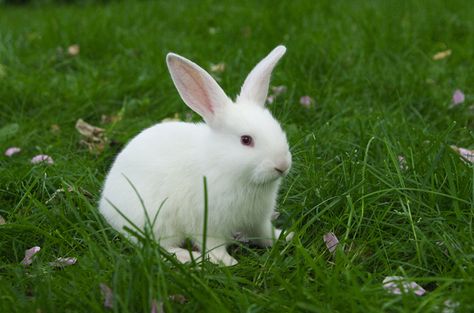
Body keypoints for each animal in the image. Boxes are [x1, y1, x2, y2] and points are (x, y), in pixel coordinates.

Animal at [99, 45, 290, 264]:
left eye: (278, 128)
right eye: (246, 140)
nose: (282, 165)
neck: (223, 164)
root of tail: (105, 203)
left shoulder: (258, 220)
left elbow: (265, 233)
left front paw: (286, 237)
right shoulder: (207, 224)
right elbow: (213, 246)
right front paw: (227, 262)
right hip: (156, 221)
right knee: (158, 247)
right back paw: (188, 257)